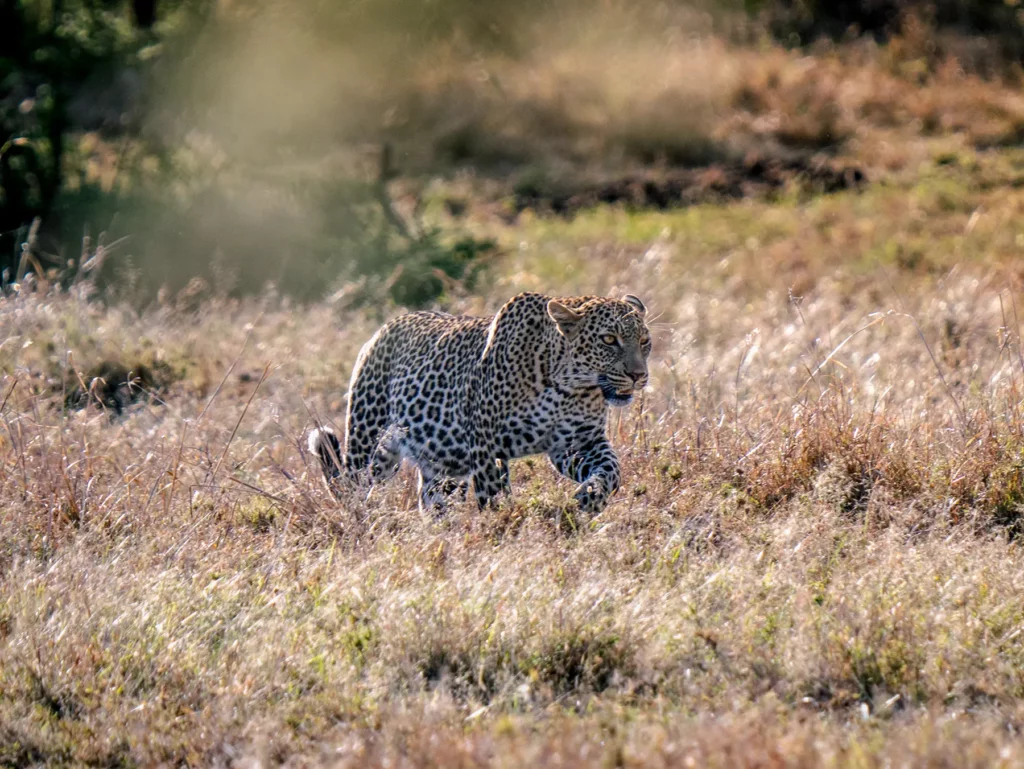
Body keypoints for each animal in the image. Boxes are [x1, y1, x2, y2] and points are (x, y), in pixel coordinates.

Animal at [308, 292, 651, 514]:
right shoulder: (487, 446)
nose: (638, 375)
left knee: (433, 501)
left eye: (644, 341)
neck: (569, 387)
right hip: (368, 438)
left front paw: (591, 498)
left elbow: (612, 469)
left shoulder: (576, 443)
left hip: (443, 462)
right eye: (609, 340)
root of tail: (383, 328)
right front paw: (502, 532)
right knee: (352, 484)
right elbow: (493, 496)